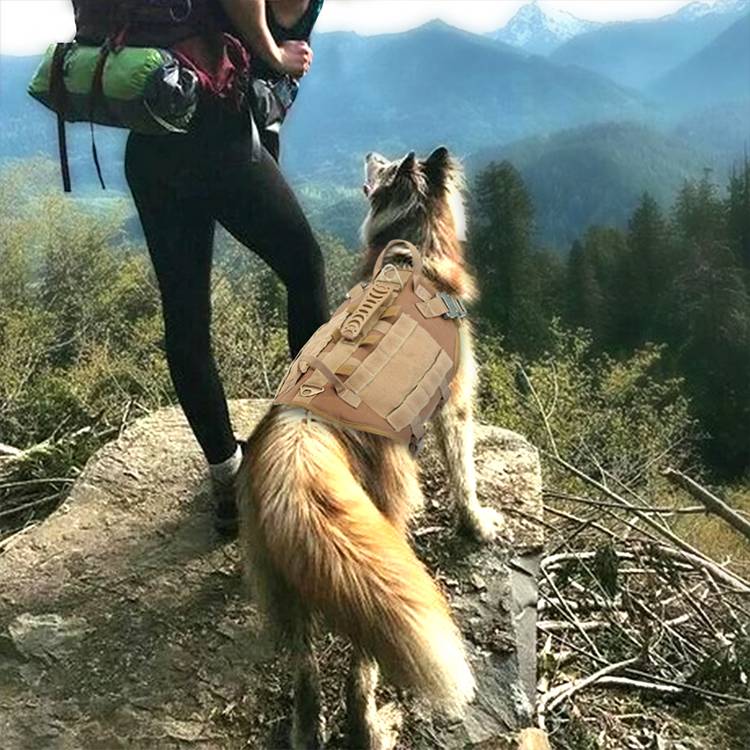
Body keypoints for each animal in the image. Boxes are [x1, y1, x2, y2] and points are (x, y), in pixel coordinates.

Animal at [236, 148, 506, 750]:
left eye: (383, 165)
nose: (371, 153)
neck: (412, 251)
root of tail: (300, 448)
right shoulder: (455, 402)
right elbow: (465, 473)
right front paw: (477, 523)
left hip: (293, 586)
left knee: (306, 679)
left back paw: (307, 731)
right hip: (377, 552)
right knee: (358, 673)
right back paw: (375, 726)